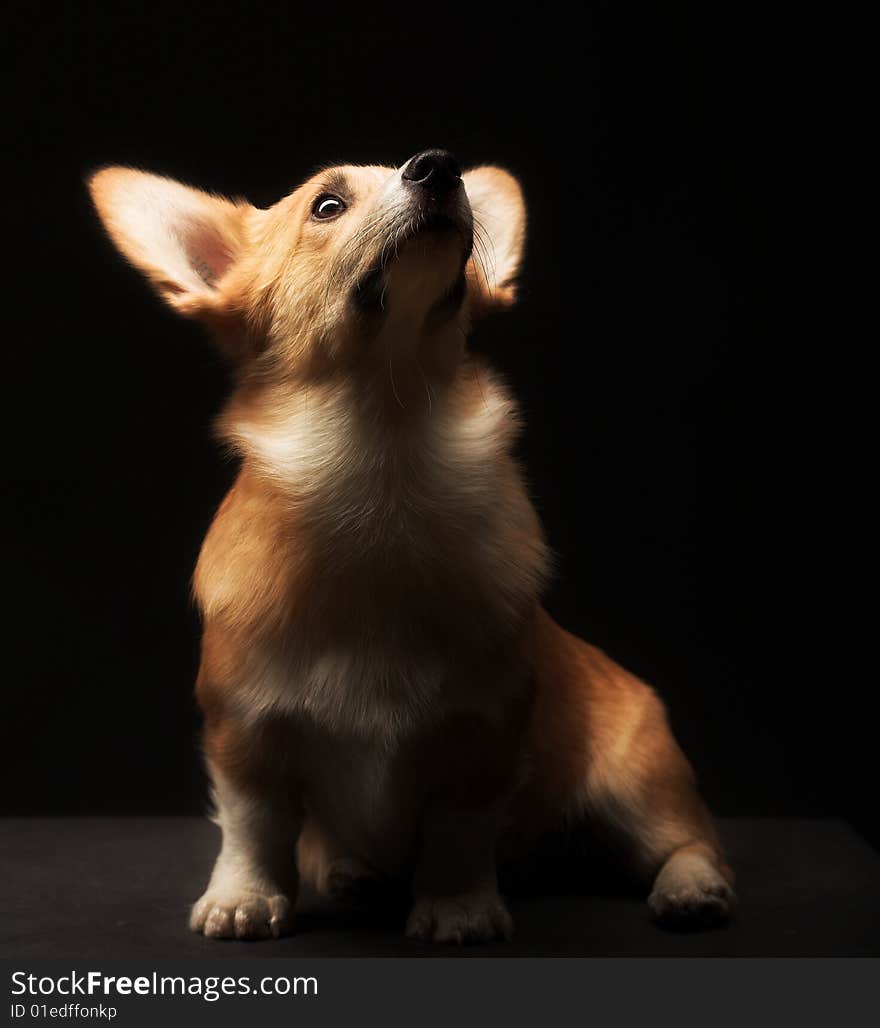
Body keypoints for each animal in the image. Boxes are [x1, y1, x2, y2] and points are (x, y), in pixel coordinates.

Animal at [89, 149, 736, 941]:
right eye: (327, 205)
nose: (438, 166)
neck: (382, 466)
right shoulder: (242, 735)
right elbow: (254, 827)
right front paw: (243, 896)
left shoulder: (483, 735)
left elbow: (457, 831)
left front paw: (458, 907)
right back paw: (355, 874)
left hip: (637, 784)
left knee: (689, 843)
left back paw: (691, 888)